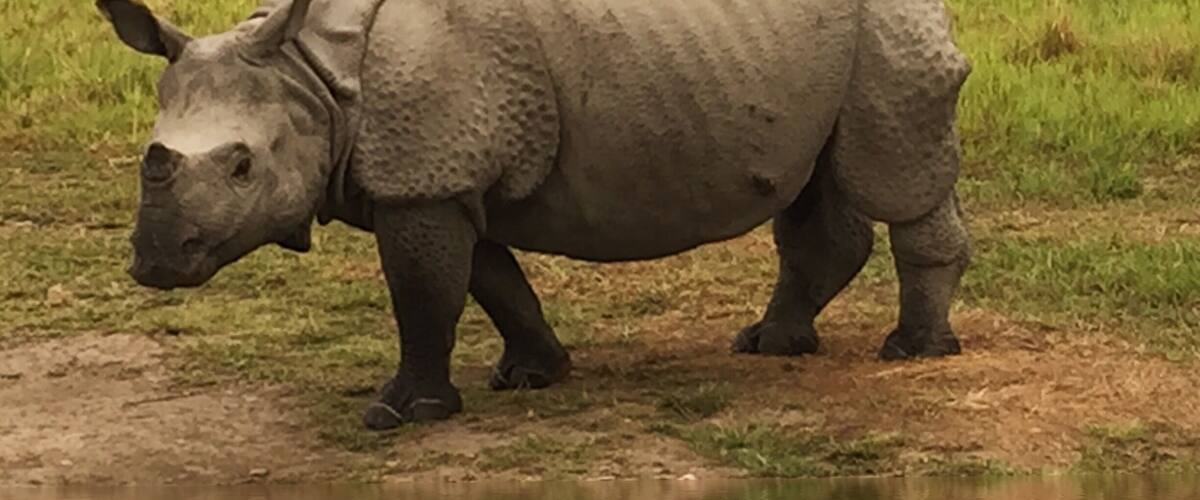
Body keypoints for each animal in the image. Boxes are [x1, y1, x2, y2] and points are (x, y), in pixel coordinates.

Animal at [98, 0, 972, 430]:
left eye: (242, 166)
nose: (153, 263)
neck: (312, 75)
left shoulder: (424, 176)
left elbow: (424, 296)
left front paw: (400, 415)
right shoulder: (443, 177)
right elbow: (489, 280)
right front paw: (533, 375)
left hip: (887, 28)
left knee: (895, 172)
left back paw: (913, 351)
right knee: (816, 187)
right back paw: (770, 345)